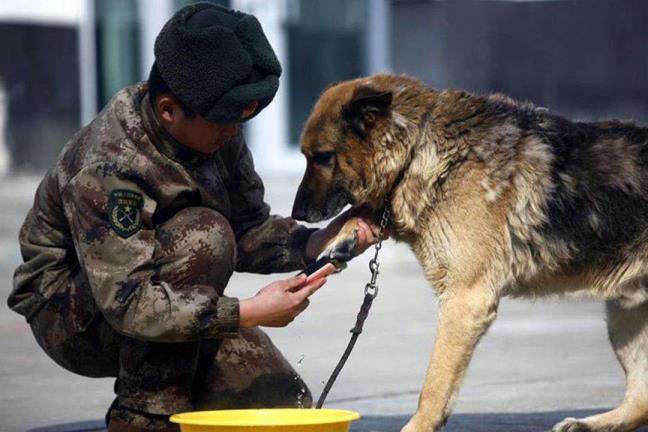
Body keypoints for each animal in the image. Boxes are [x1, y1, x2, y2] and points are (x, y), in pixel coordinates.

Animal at [292, 74, 648, 432]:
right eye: (307, 156)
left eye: (322, 156)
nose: (296, 214)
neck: (418, 146)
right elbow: (359, 210)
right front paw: (341, 236)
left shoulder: (464, 301)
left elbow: (435, 384)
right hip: (625, 313)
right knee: (640, 400)